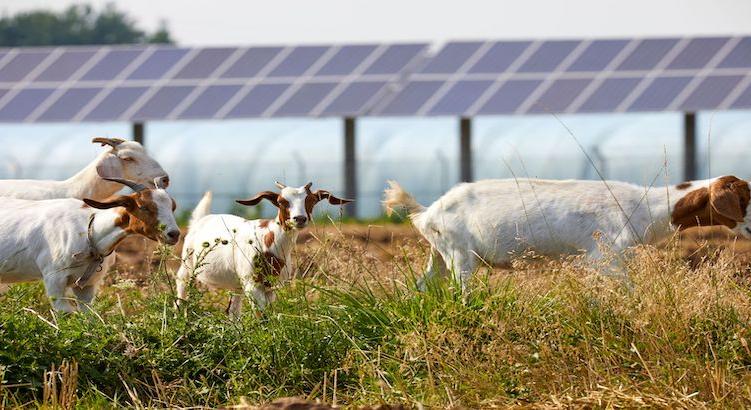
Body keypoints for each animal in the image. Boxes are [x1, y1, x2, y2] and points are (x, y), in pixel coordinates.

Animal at [0, 177, 181, 310]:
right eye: (143, 206)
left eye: (173, 206)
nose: (174, 234)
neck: (90, 231)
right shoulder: (54, 279)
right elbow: (65, 313)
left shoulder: (87, 285)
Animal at [176, 181, 352, 312]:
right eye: (281, 201)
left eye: (311, 200)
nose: (299, 219)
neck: (267, 240)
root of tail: (200, 220)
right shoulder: (252, 285)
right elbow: (262, 316)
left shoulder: (270, 287)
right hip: (187, 267)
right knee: (181, 293)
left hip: (237, 283)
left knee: (232, 311)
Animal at [384, 175, 751, 290]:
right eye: (744, 197)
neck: (645, 206)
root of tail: (427, 211)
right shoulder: (605, 257)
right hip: (461, 255)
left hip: (440, 254)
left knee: (422, 286)